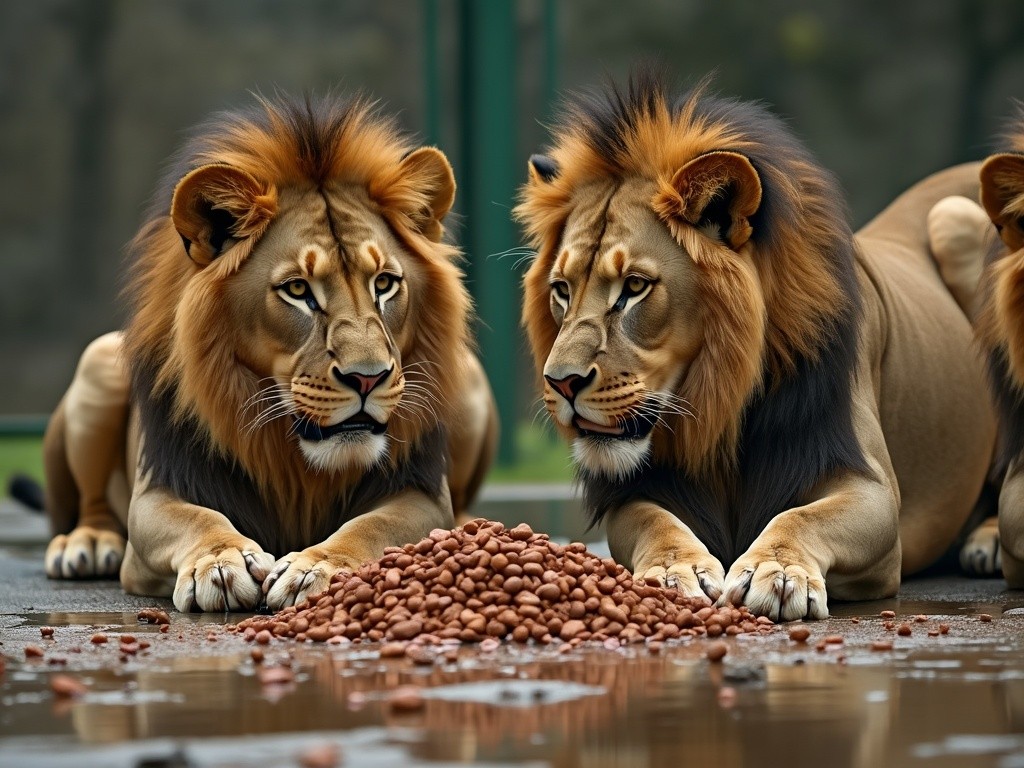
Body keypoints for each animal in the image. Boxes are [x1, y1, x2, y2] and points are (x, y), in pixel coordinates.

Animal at [41, 93, 497, 614]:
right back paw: (89, 543)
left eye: (384, 283)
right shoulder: (158, 491)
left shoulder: (421, 493)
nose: (368, 378)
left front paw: (315, 568)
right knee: (89, 504)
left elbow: (370, 526)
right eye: (297, 290)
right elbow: (198, 519)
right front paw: (222, 562)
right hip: (97, 360)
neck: (298, 461)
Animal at [516, 72, 995, 622]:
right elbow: (654, 522)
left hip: (955, 217)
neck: (717, 409)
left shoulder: (870, 488)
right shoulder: (636, 490)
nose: (561, 383)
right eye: (562, 290)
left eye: (634, 287)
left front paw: (780, 572)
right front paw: (674, 571)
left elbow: (801, 517)